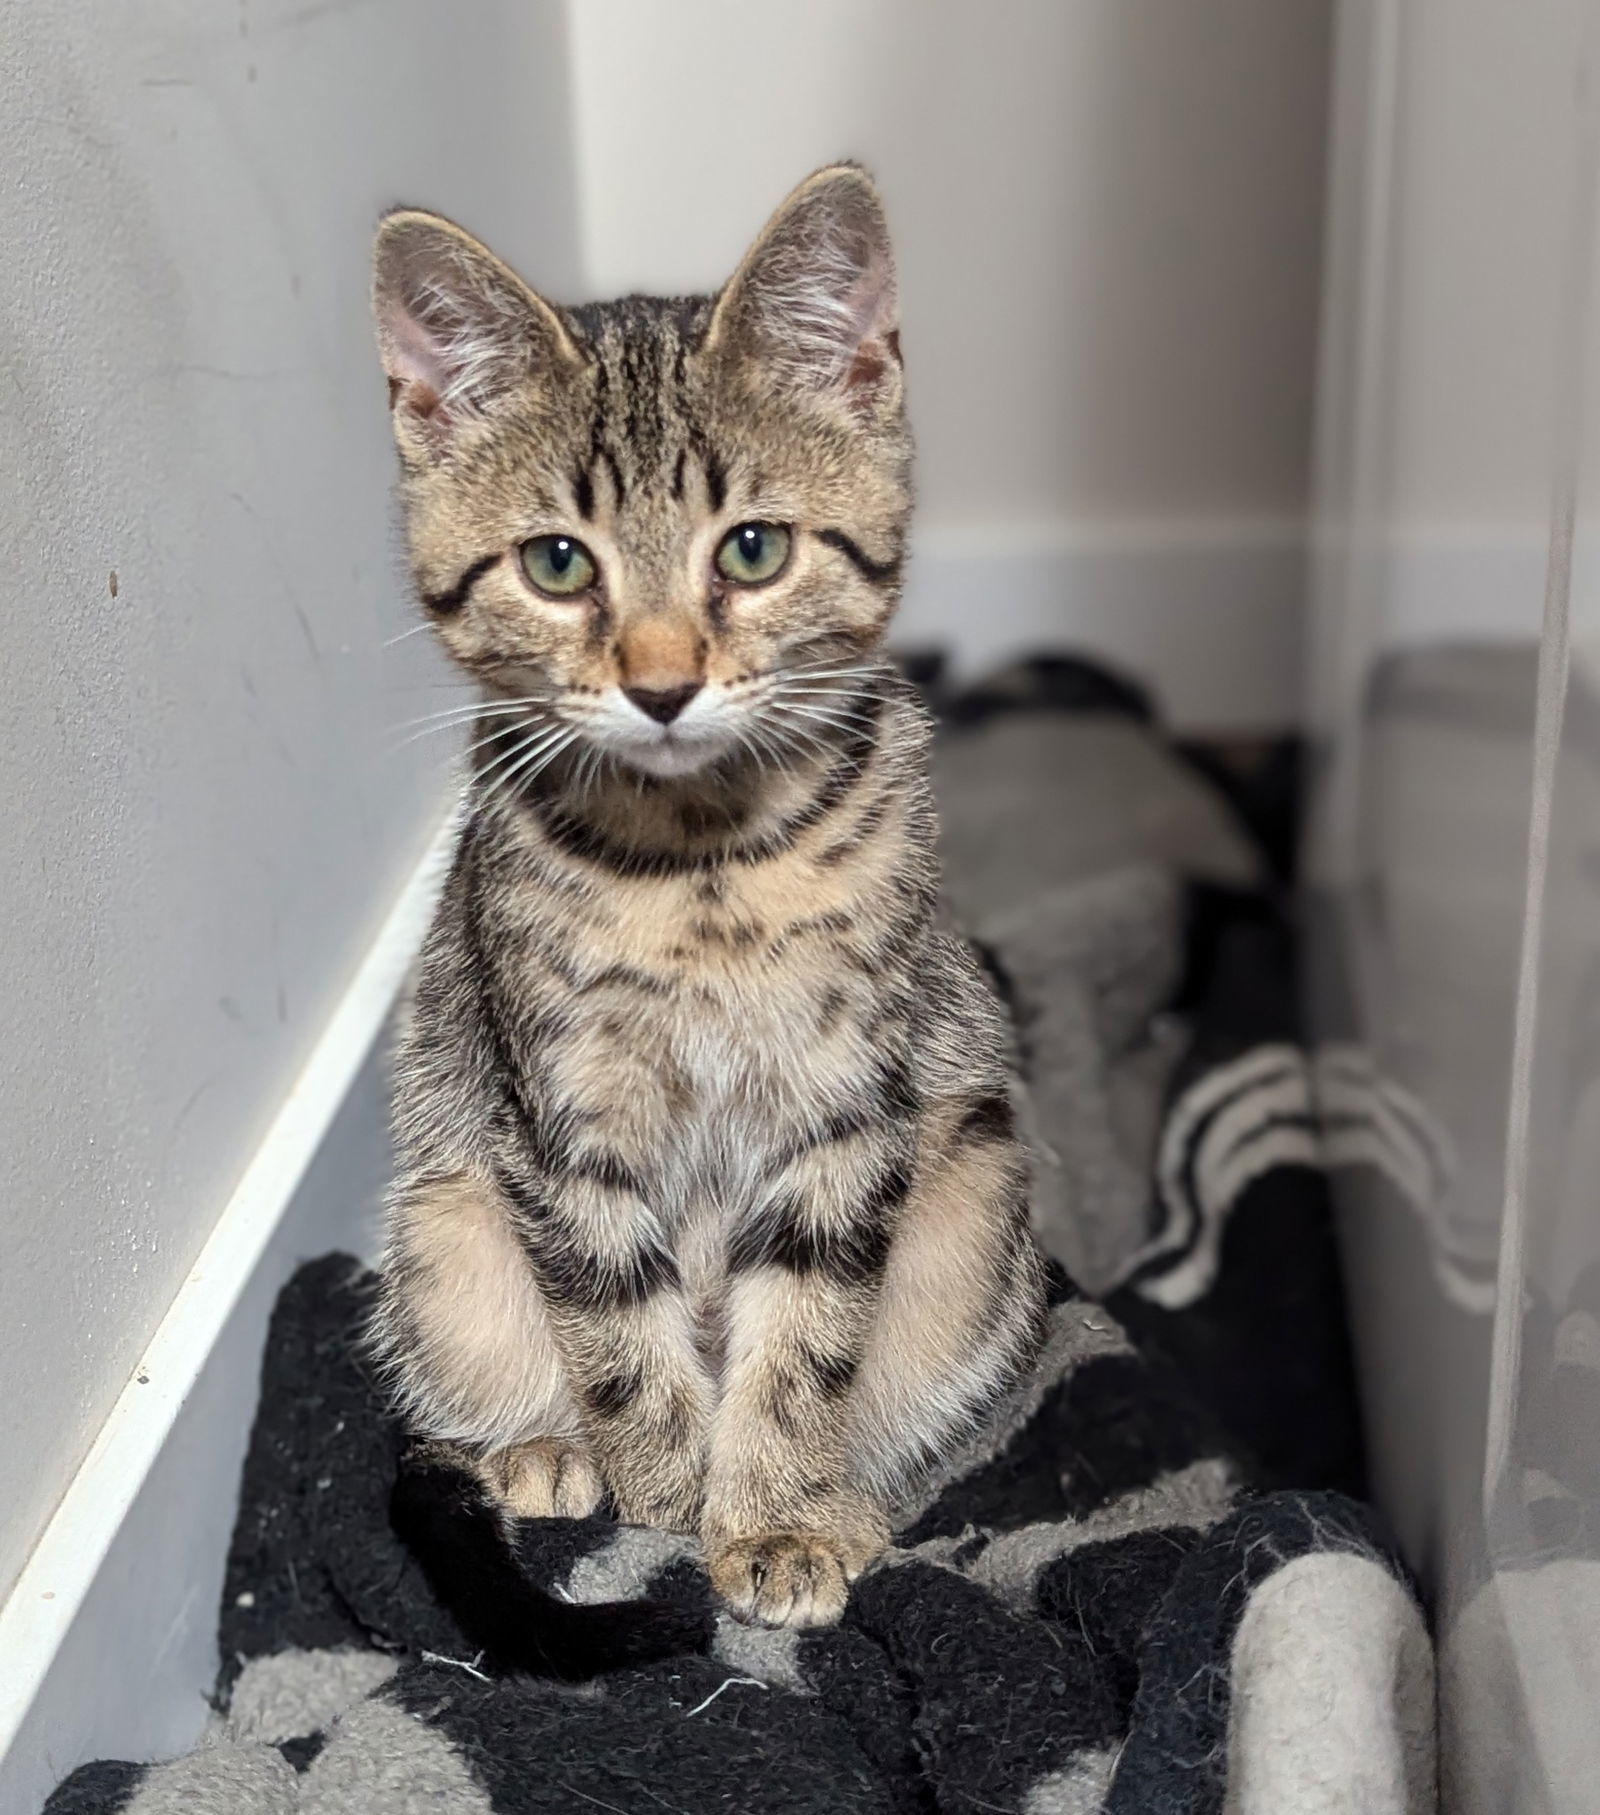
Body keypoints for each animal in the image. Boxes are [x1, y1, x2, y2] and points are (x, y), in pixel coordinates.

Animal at [371, 163, 1044, 1626]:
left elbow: (801, 1338)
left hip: (974, 1188)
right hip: (445, 1213)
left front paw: (776, 1515)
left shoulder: (852, 1108)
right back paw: (539, 1448)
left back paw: (853, 1498)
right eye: (557, 563)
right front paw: (672, 1500)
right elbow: (620, 1328)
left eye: (751, 549)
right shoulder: (557, 1122)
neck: (701, 869)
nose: (664, 682)